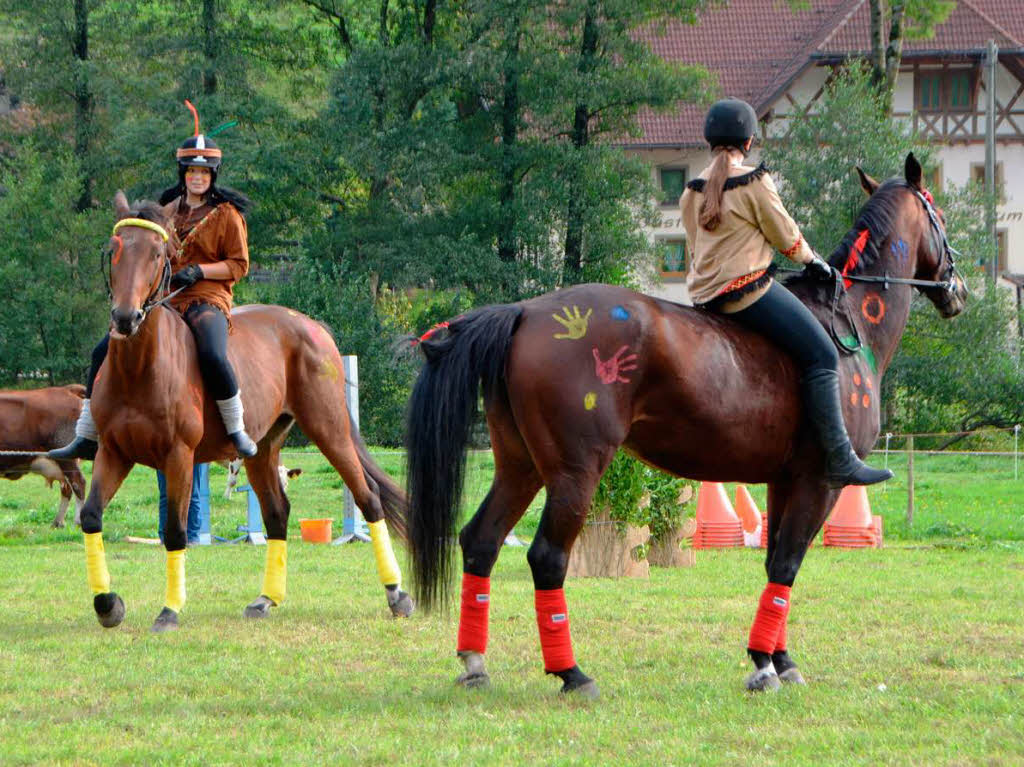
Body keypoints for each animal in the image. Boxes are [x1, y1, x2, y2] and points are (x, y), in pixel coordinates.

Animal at [0, 382, 87, 528]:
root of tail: (65, 389)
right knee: (67, 488)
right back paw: (58, 523)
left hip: (65, 455)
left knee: (78, 483)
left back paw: (78, 522)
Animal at [77, 192, 411, 634]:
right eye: (114, 249)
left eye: (156, 254)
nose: (125, 318)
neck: (140, 368)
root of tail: (310, 325)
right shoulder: (113, 453)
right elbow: (91, 515)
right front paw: (107, 604)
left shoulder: (179, 457)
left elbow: (176, 532)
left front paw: (169, 611)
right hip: (263, 448)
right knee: (276, 513)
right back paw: (266, 599)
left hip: (330, 430)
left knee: (368, 498)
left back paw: (397, 594)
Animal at [405, 153, 966, 692]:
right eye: (938, 215)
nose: (957, 289)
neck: (850, 321)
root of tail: (524, 311)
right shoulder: (821, 481)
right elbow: (789, 563)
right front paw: (766, 665)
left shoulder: (784, 481)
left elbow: (775, 564)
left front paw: (776, 659)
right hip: (573, 474)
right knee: (547, 558)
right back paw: (572, 674)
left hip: (520, 467)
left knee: (480, 542)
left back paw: (475, 663)